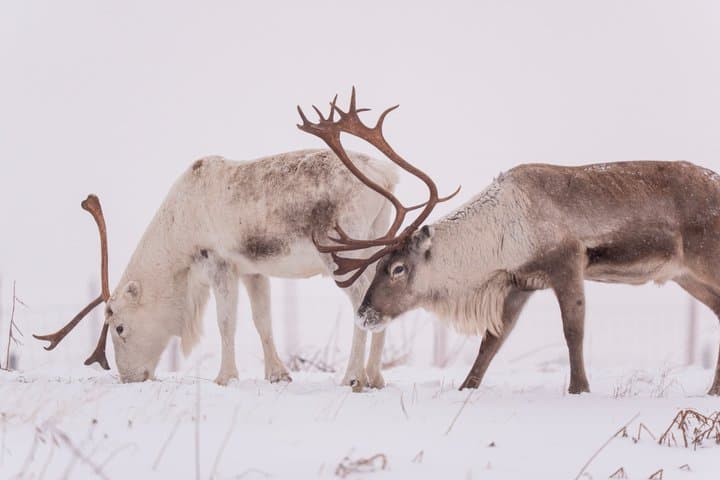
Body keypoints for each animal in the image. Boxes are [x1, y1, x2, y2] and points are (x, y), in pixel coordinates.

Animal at [33, 148, 403, 388]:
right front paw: (277, 374)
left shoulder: (218, 262)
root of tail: (386, 175)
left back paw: (353, 376)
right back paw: (376, 377)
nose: (129, 377)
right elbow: (263, 322)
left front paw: (225, 376)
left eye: (120, 327)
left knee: (361, 304)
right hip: (376, 238)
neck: (179, 231)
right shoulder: (253, 270)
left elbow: (226, 322)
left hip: (342, 252)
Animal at [297, 89, 720, 396]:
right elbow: (492, 340)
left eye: (397, 268)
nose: (364, 313)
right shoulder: (519, 282)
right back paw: (712, 391)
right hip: (687, 276)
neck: (498, 240)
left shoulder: (567, 263)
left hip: (706, 262)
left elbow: (573, 331)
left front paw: (579, 390)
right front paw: (466, 387)